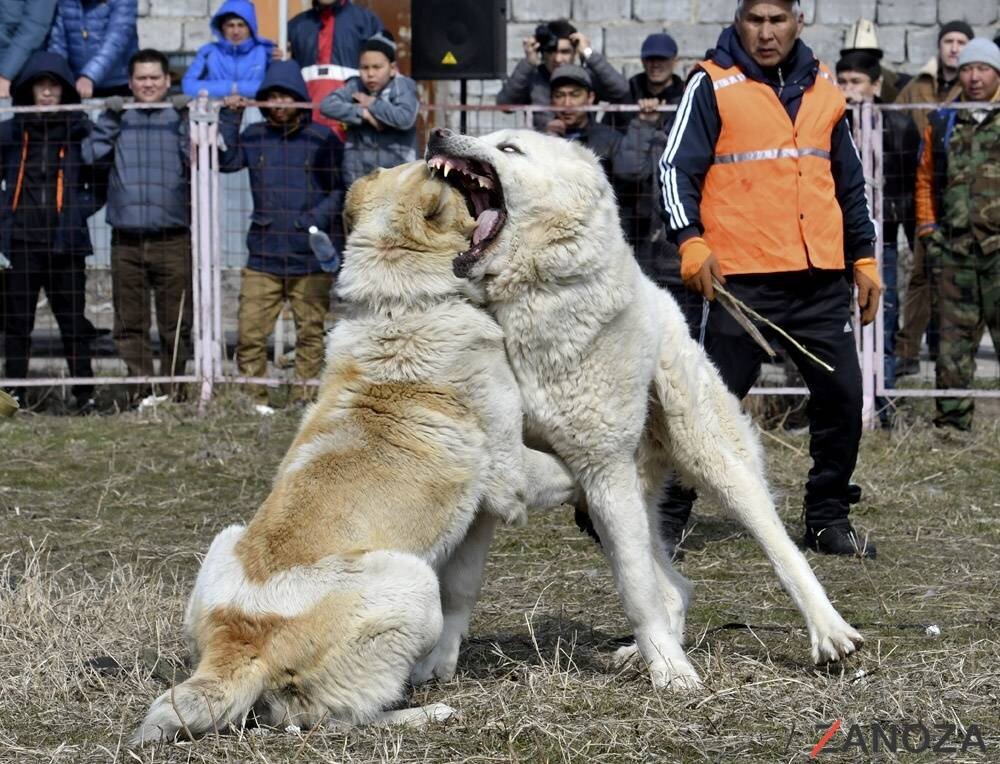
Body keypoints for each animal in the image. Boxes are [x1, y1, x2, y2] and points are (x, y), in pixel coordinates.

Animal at [128, 163, 576, 748]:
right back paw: (423, 714)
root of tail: (242, 640)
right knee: (331, 717)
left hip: (225, 538)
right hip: (414, 584)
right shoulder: (511, 473)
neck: (401, 302)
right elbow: (566, 472)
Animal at [426, 128, 864, 688]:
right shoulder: (498, 475)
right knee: (674, 586)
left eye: (508, 149)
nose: (439, 133)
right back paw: (646, 652)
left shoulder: (604, 471)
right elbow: (457, 586)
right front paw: (438, 662)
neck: (528, 301)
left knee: (778, 551)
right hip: (601, 504)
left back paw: (828, 633)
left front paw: (674, 676)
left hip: (710, 465)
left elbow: (636, 591)